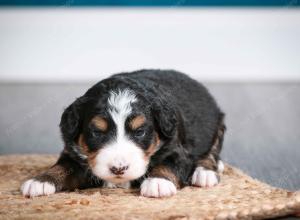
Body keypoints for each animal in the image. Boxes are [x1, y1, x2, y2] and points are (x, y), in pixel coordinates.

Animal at [20, 70, 225, 198]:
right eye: (97, 132)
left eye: (140, 132)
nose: (118, 169)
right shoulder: (73, 154)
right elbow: (62, 167)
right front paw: (40, 180)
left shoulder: (177, 147)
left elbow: (169, 163)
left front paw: (158, 182)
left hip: (218, 124)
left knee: (211, 153)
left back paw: (205, 173)